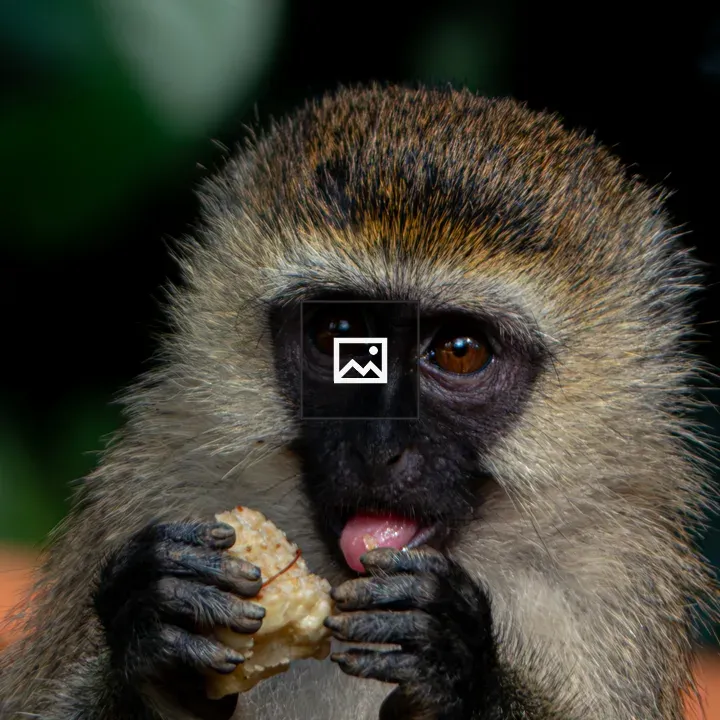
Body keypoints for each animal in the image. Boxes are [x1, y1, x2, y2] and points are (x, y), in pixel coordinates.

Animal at [0, 83, 717, 720]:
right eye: (338, 332)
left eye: (460, 350)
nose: (380, 448)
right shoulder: (155, 484)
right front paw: (154, 629)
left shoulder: (619, 565)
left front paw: (458, 663)